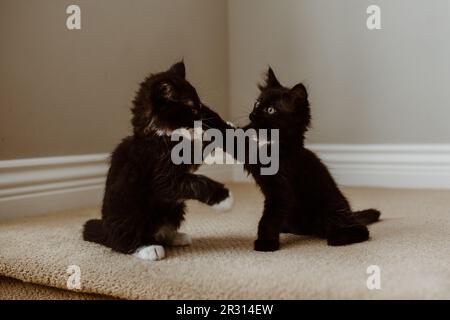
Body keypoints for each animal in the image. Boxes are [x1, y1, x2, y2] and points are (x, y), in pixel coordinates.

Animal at [82, 61, 234, 262]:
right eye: (193, 108)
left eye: (200, 106)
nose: (202, 114)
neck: (158, 133)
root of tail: (107, 232)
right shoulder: (161, 174)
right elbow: (195, 181)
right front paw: (225, 199)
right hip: (130, 212)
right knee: (123, 243)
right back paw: (147, 248)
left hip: (175, 208)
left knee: (163, 228)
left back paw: (175, 236)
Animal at [244, 68, 378, 252]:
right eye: (257, 104)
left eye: (270, 110)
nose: (252, 115)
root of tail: (350, 212)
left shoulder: (281, 192)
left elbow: (268, 220)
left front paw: (266, 244)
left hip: (331, 213)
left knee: (361, 230)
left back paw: (337, 239)